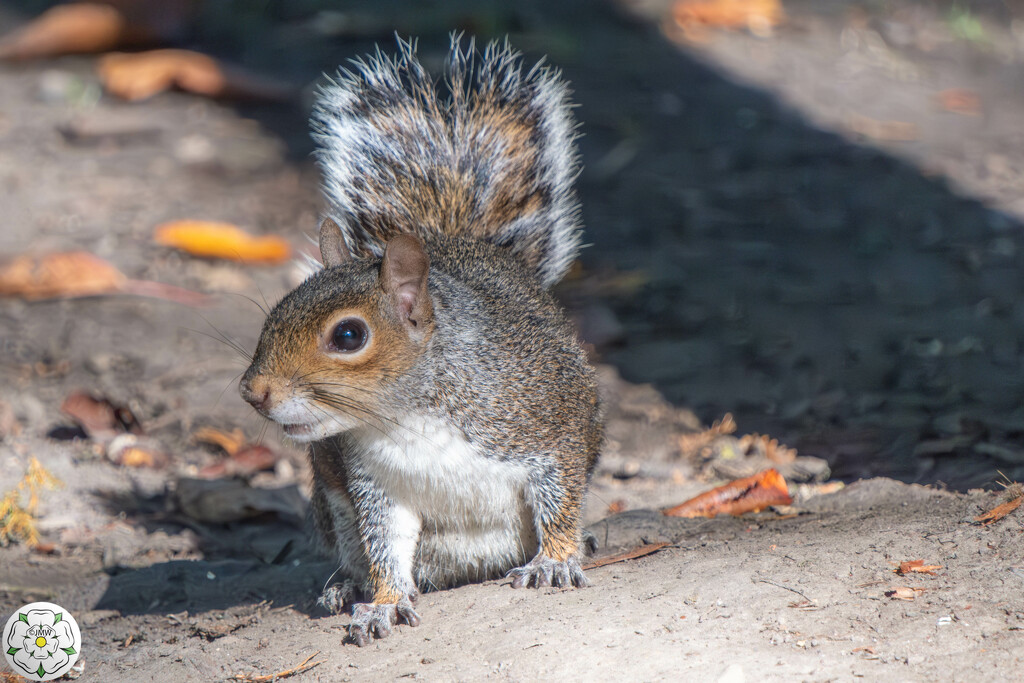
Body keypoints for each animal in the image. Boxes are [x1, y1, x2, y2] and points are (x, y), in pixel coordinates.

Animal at [238, 37, 598, 647]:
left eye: (349, 335)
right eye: (278, 310)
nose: (253, 392)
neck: (409, 417)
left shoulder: (545, 424)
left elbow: (560, 495)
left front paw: (556, 558)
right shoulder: (376, 483)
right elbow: (386, 542)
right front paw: (383, 603)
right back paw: (345, 585)